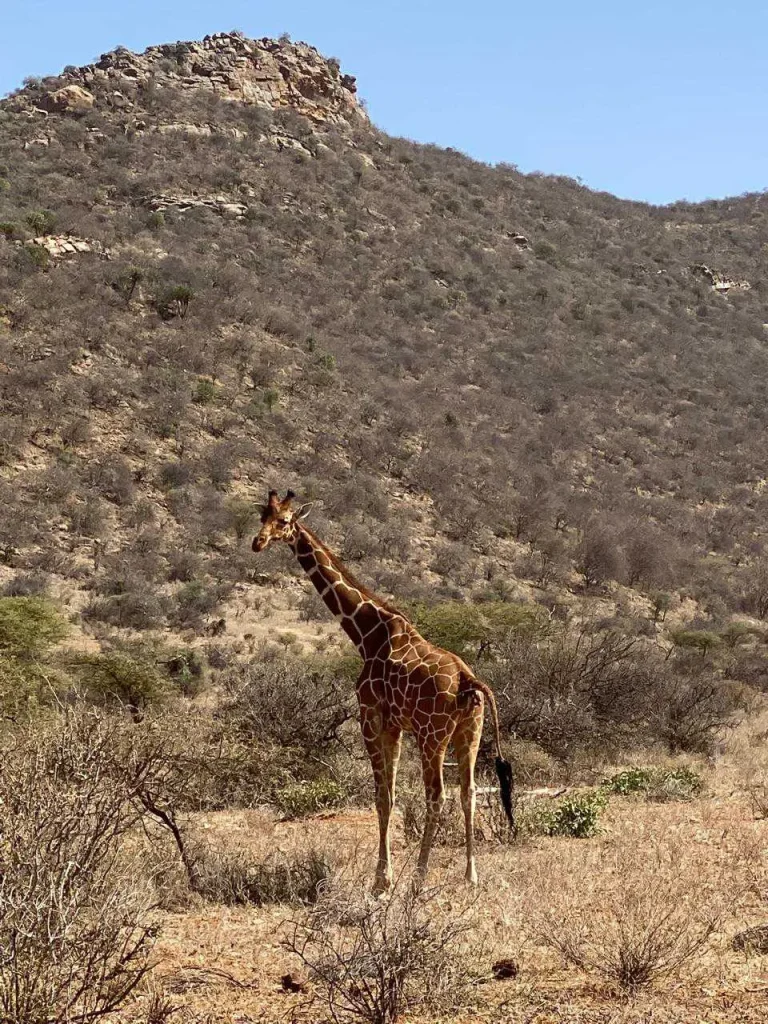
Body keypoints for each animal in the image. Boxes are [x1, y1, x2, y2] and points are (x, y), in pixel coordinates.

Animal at [253, 490, 515, 891]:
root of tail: (469, 680)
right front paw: (385, 875)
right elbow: (389, 796)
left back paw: (419, 878)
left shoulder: (371, 715)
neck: (365, 633)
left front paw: (382, 880)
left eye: (284, 520)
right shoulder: (395, 724)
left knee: (437, 795)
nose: (258, 542)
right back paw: (470, 876)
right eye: (262, 515)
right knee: (468, 792)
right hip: (469, 732)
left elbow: (382, 797)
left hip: (432, 735)